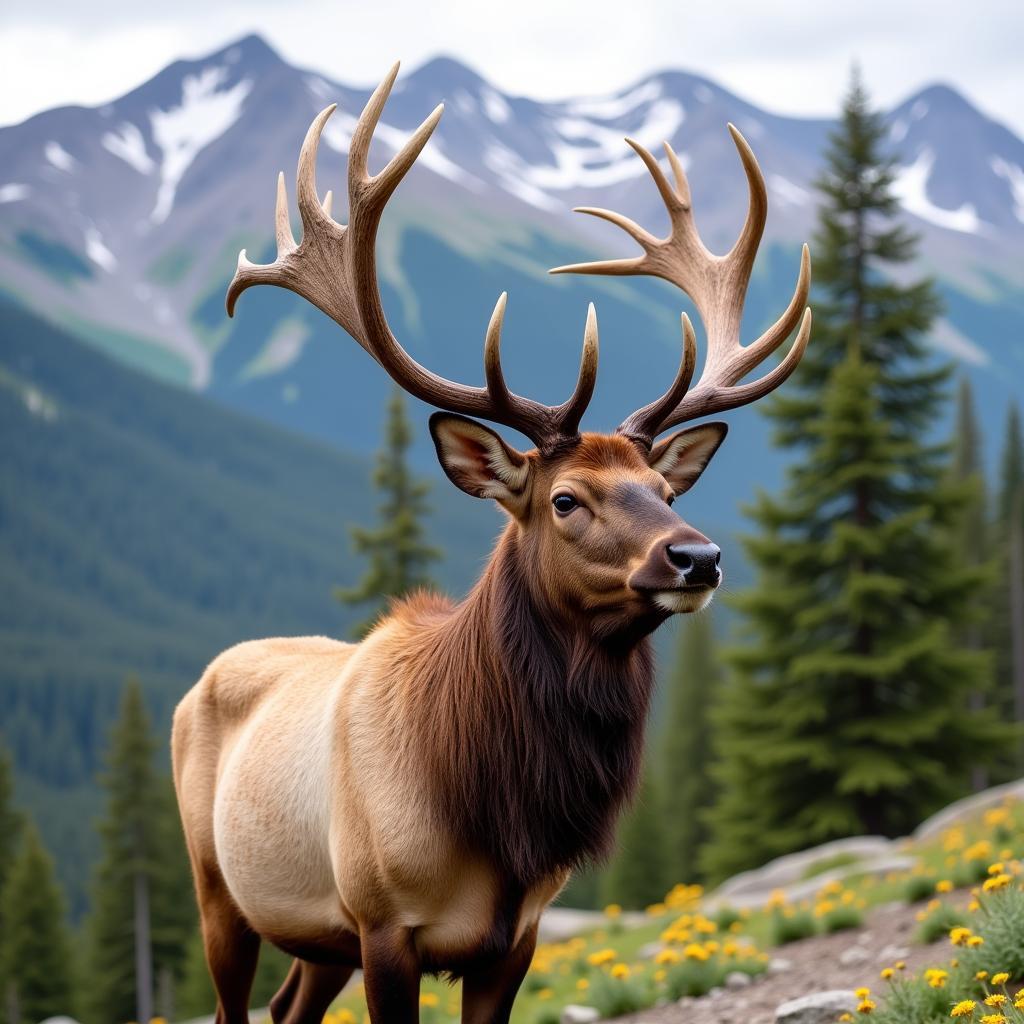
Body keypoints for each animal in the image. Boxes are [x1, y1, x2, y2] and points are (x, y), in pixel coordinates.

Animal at [172, 64, 811, 1024]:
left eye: (665, 491)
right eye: (566, 499)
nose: (697, 557)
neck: (500, 818)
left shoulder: (518, 936)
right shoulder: (383, 921)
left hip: (318, 938)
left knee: (288, 1008)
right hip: (222, 891)